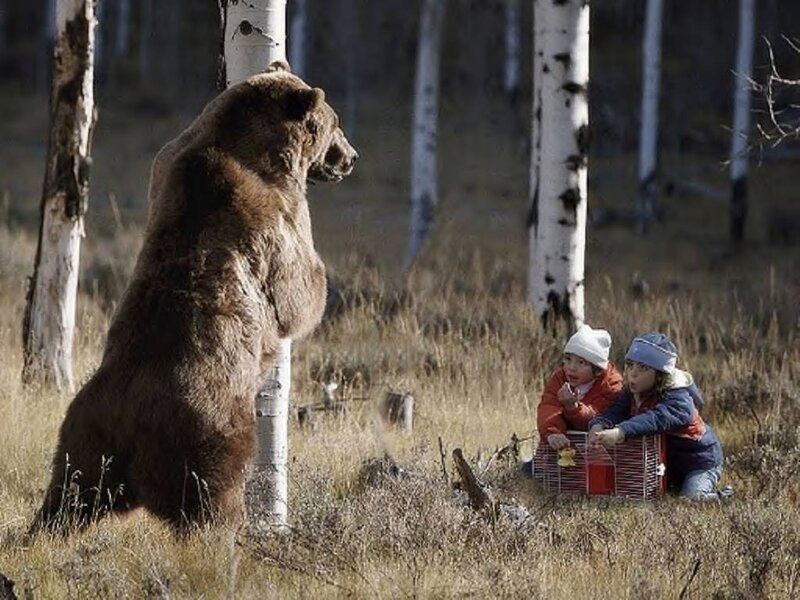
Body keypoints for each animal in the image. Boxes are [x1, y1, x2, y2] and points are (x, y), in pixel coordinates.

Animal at [30, 62, 357, 534]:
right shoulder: (276, 211)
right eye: (336, 123)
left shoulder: (168, 162)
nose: (350, 157)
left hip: (84, 439)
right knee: (212, 502)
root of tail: (130, 421)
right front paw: (316, 290)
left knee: (67, 496)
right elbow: (296, 289)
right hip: (208, 436)